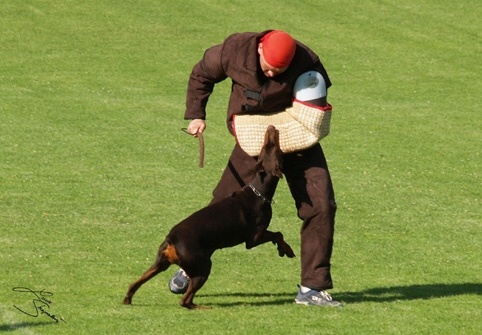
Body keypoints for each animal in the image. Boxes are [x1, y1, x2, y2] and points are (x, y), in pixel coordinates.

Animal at [121, 126, 294, 310]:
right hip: (202, 267)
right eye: (274, 148)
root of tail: (171, 240)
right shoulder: (254, 238)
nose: (271, 128)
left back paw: (128, 299)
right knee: (185, 301)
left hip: (161, 263)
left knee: (134, 283)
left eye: (263, 149)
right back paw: (204, 307)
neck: (258, 192)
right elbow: (278, 234)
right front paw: (287, 250)